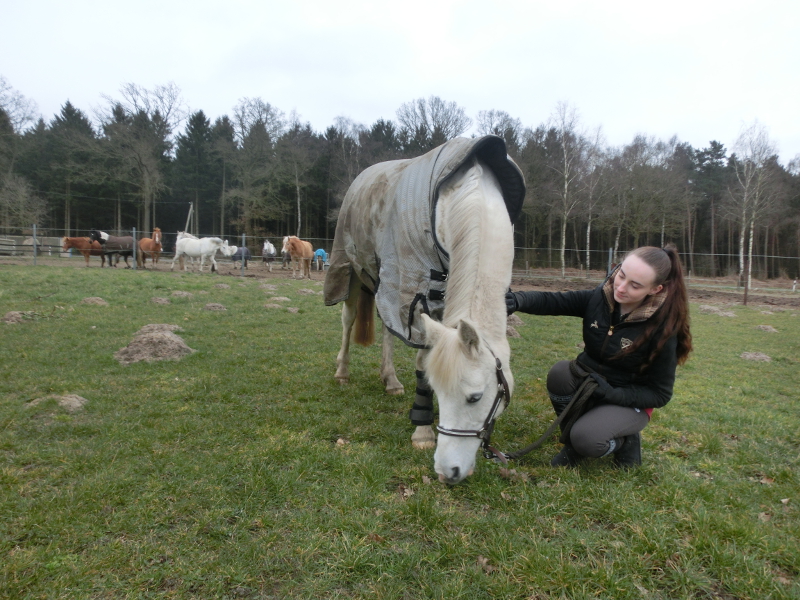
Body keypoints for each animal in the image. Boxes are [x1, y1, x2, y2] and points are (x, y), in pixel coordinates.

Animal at [323, 135, 525, 484]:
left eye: (475, 397)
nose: (448, 471)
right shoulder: (417, 288)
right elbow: (422, 358)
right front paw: (422, 430)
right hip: (351, 269)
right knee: (348, 321)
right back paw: (343, 372)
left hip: (384, 281)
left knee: (388, 329)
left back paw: (390, 380)